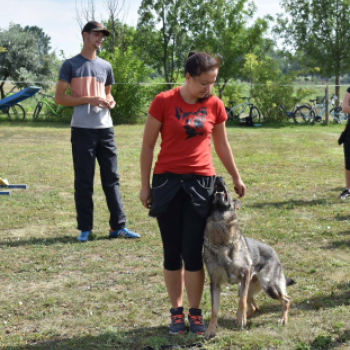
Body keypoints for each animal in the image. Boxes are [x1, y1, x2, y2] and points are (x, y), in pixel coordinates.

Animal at [204, 176, 294, 338]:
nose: (219, 177)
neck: (222, 243)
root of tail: (274, 252)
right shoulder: (215, 283)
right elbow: (214, 310)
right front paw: (210, 330)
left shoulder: (244, 273)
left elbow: (241, 302)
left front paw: (241, 320)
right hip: (243, 287)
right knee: (254, 306)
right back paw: (239, 319)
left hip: (269, 286)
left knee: (285, 299)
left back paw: (282, 319)